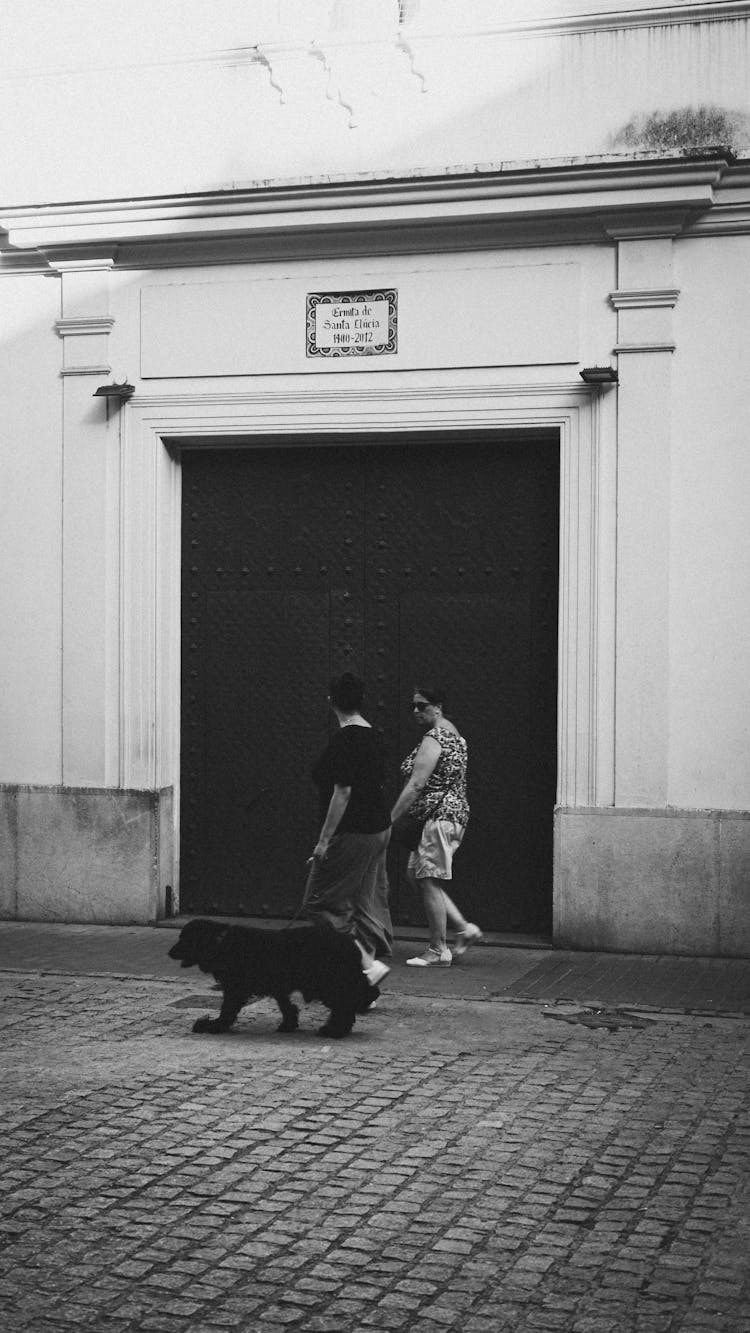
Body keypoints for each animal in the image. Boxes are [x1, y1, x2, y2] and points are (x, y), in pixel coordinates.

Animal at [167, 922, 373, 1034]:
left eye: (184, 939)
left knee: (345, 1005)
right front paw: (289, 1023)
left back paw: (334, 1031)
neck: (221, 942)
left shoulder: (235, 989)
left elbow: (227, 1009)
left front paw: (215, 1025)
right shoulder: (277, 987)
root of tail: (350, 942)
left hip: (329, 983)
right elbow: (286, 1006)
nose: (169, 953)